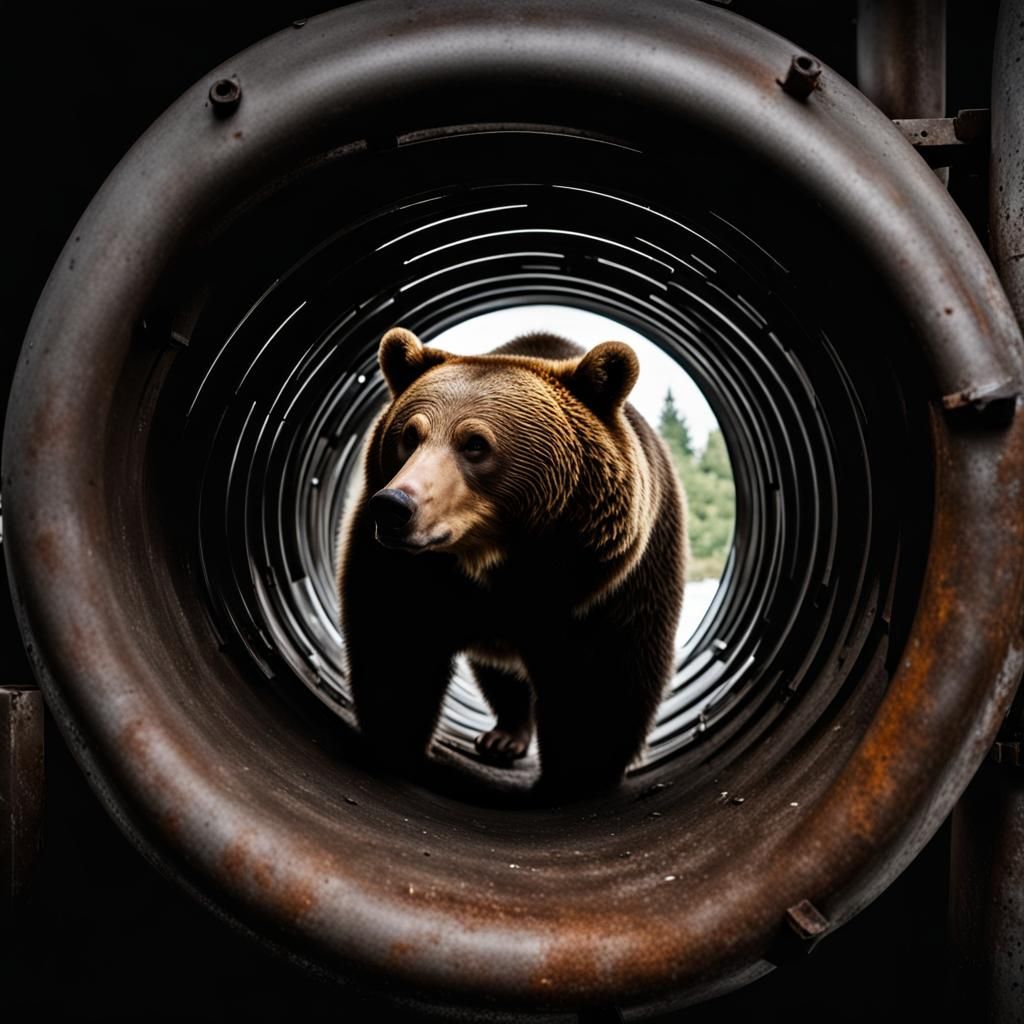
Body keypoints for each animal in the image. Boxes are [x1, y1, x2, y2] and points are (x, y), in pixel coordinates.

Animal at [336, 326, 686, 799]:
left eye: (475, 443)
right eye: (410, 434)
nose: (394, 506)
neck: (497, 561)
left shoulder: (612, 584)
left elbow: (602, 681)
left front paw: (577, 779)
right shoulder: (404, 570)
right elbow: (395, 641)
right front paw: (394, 745)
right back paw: (504, 736)